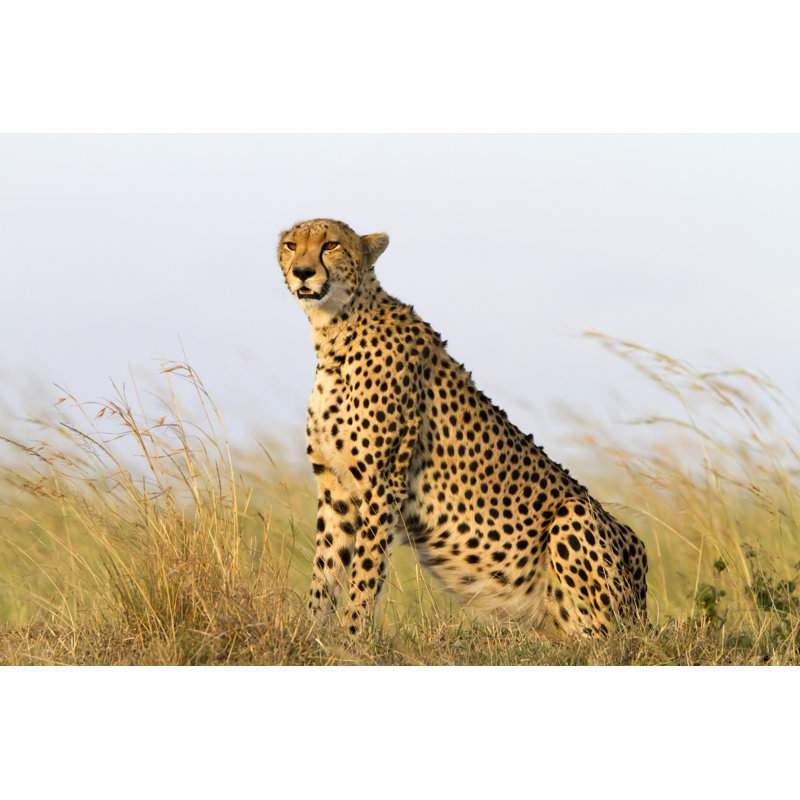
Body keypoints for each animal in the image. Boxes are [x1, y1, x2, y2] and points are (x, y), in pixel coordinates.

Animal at [277, 218, 648, 637]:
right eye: (291, 245)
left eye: (331, 245)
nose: (302, 272)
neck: (335, 330)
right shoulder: (335, 487)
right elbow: (325, 570)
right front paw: (311, 635)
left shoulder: (382, 484)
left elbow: (365, 574)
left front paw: (353, 638)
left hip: (576, 518)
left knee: (606, 638)